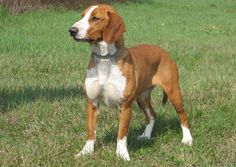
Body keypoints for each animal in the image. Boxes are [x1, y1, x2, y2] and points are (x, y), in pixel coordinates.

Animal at [68, 3, 194, 160]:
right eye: (82, 16)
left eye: (95, 18)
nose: (72, 30)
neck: (105, 59)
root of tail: (164, 51)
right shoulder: (92, 103)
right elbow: (91, 131)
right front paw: (85, 152)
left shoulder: (125, 106)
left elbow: (121, 134)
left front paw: (122, 154)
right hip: (142, 98)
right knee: (152, 115)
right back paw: (146, 136)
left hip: (173, 93)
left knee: (183, 115)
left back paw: (187, 139)